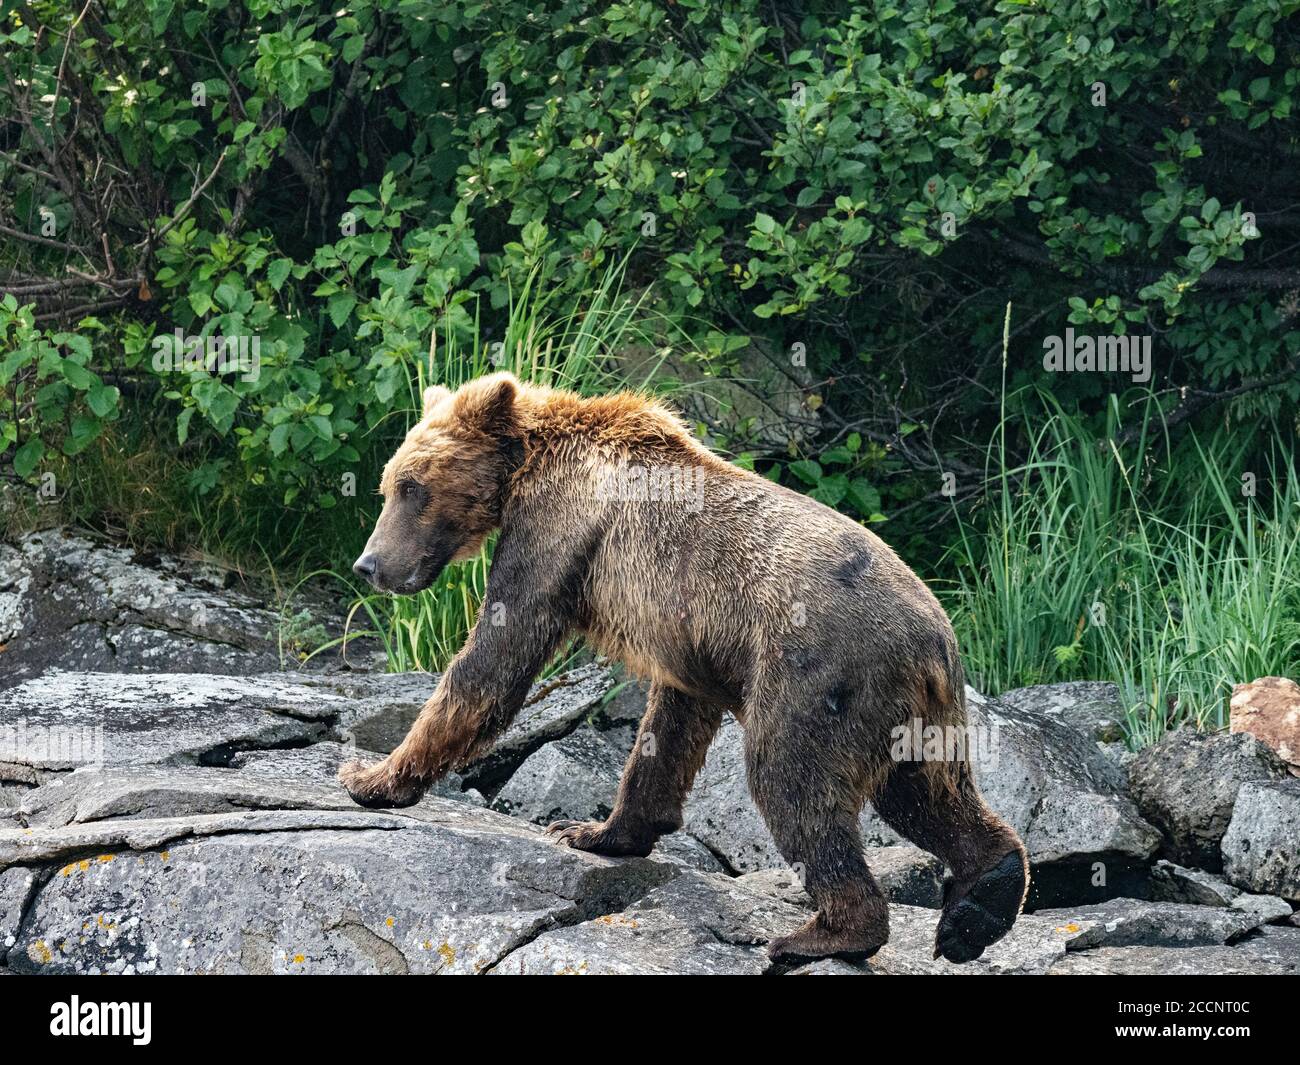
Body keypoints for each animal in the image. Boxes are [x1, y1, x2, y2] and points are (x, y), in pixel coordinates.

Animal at [340, 374, 1029, 967]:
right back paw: (980, 901)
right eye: (388, 485)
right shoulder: (690, 639)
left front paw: (370, 777)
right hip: (912, 712)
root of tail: (934, 639)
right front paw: (596, 830)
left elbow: (495, 658)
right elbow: (668, 729)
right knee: (925, 793)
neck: (524, 469)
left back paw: (822, 934)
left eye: (411, 485)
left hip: (819, 675)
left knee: (793, 782)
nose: (368, 564)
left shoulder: (557, 535)